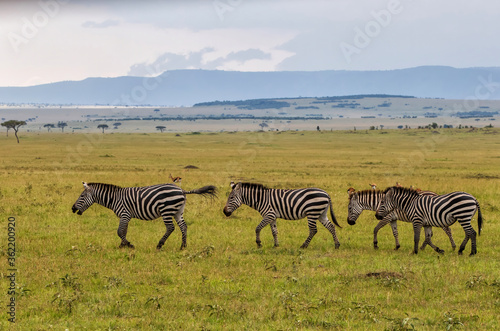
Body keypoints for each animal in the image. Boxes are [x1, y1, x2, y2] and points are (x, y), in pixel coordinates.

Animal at [71, 183, 216, 250]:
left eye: (82, 196)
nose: (72, 209)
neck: (114, 198)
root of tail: (181, 190)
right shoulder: (127, 216)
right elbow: (124, 231)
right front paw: (122, 245)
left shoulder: (124, 214)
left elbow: (119, 231)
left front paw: (129, 245)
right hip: (178, 211)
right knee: (184, 227)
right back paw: (183, 246)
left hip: (166, 210)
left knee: (170, 228)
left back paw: (159, 245)